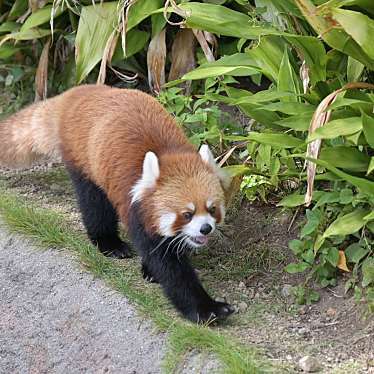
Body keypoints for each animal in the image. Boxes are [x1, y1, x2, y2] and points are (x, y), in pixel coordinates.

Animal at [0, 84, 234, 322]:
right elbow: (169, 267)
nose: (206, 229)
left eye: (212, 209)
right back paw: (109, 244)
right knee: (94, 206)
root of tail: (80, 92)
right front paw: (207, 309)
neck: (169, 154)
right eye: (187, 214)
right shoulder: (135, 209)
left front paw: (150, 270)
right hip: (84, 162)